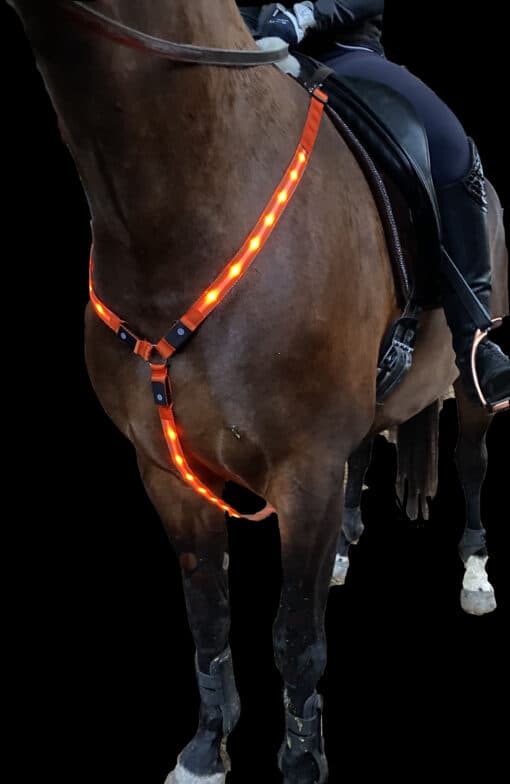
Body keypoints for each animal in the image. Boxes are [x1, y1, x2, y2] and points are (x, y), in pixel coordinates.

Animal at [8, 2, 508, 782]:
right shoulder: (166, 474)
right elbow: (208, 614)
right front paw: (206, 748)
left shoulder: (303, 474)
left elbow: (295, 635)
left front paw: (301, 762)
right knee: (365, 457)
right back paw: (346, 552)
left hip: (473, 381)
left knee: (472, 461)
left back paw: (476, 573)